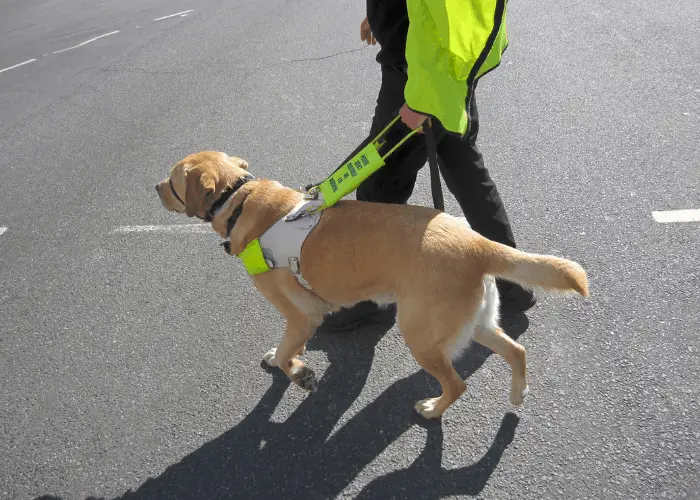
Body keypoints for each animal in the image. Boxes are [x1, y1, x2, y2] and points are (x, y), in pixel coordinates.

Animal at [156, 151, 588, 418]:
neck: (240, 198)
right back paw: (518, 394)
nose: (153, 187)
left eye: (173, 181)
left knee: (457, 385)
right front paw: (287, 360)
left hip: (420, 334)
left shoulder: (303, 314)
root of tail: (476, 242)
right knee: (517, 351)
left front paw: (298, 372)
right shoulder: (301, 319)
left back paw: (432, 409)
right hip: (474, 322)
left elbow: (287, 352)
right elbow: (284, 347)